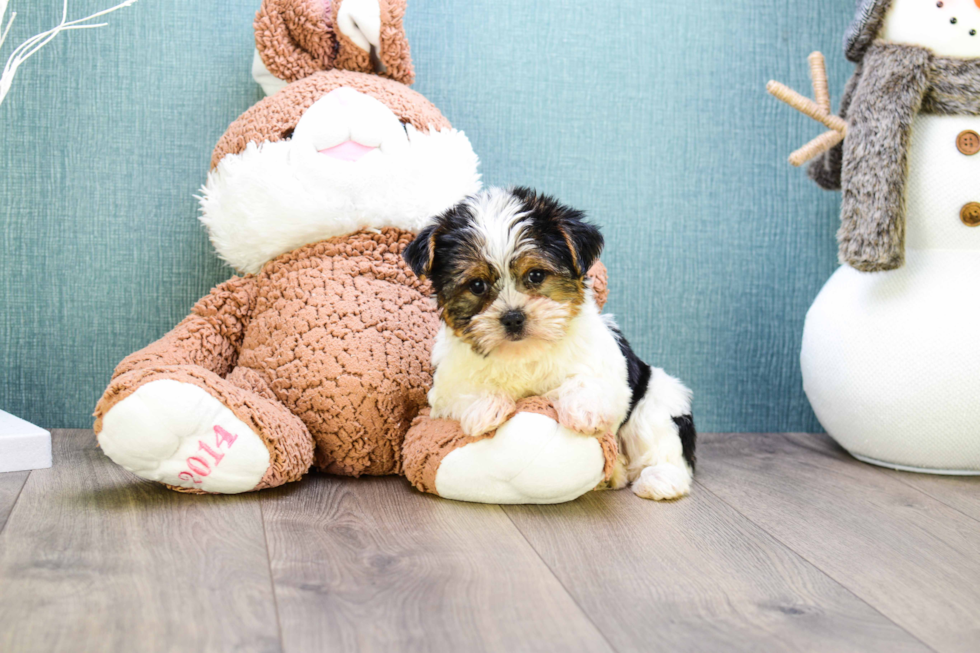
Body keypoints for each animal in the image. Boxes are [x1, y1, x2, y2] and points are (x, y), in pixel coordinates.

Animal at [406, 186, 696, 502]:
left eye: (536, 275)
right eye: (477, 285)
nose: (513, 317)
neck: (522, 352)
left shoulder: (607, 368)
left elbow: (588, 380)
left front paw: (584, 411)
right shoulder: (445, 386)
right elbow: (461, 391)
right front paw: (486, 407)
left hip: (658, 399)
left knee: (660, 442)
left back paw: (659, 479)